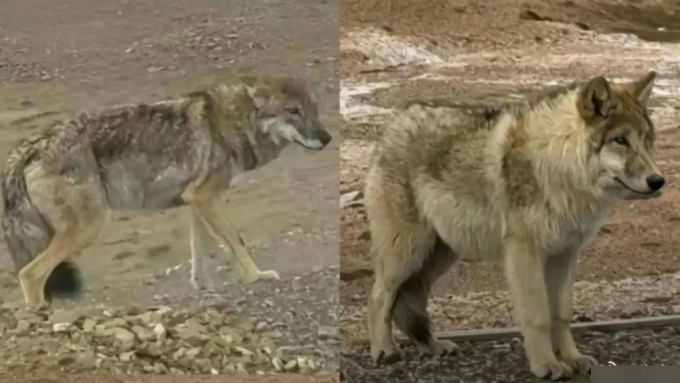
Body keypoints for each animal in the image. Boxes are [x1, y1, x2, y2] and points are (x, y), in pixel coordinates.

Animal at [2, 74, 332, 308]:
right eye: (293, 111)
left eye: (314, 110)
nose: (327, 139)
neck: (232, 123)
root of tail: (28, 147)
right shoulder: (206, 197)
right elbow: (236, 242)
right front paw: (256, 277)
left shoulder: (196, 201)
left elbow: (202, 252)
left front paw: (206, 287)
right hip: (88, 228)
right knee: (29, 275)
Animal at [366, 72, 664, 380]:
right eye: (621, 140)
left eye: (646, 139)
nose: (658, 181)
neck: (557, 166)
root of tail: (394, 122)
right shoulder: (525, 254)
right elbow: (538, 315)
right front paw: (546, 364)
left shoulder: (565, 254)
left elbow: (562, 313)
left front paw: (572, 358)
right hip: (406, 254)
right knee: (378, 297)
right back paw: (384, 350)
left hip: (440, 255)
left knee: (413, 297)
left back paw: (433, 346)